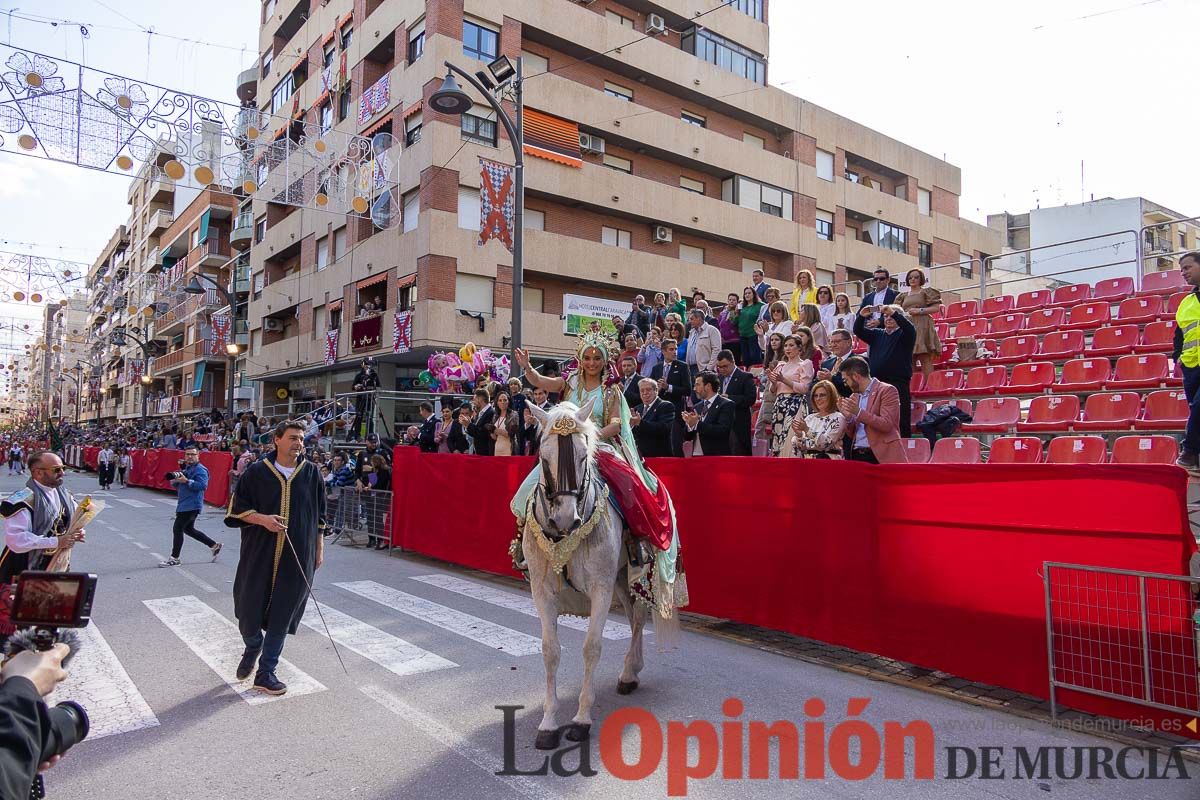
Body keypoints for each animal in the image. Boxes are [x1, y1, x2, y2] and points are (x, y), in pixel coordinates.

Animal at [520, 400, 643, 753]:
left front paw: (581, 720)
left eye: (582, 456)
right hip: (620, 581)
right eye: (543, 457)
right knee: (633, 618)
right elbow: (550, 651)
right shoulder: (542, 592)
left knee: (638, 619)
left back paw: (629, 673)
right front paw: (548, 723)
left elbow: (592, 648)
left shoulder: (601, 589)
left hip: (629, 577)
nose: (564, 519)